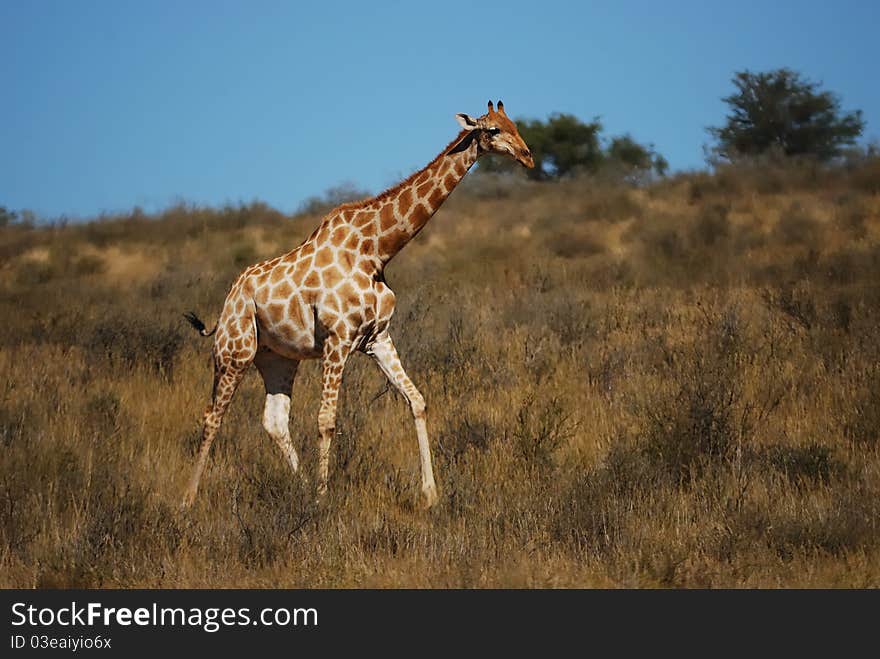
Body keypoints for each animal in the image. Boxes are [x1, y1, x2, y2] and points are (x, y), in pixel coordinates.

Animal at [182, 99, 532, 510]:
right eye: (492, 129)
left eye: (514, 124)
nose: (528, 156)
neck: (376, 250)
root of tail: (229, 300)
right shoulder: (337, 339)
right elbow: (326, 420)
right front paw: (322, 498)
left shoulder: (377, 338)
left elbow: (417, 401)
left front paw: (430, 493)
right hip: (234, 352)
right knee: (212, 416)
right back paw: (188, 499)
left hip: (277, 357)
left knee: (274, 420)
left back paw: (299, 486)